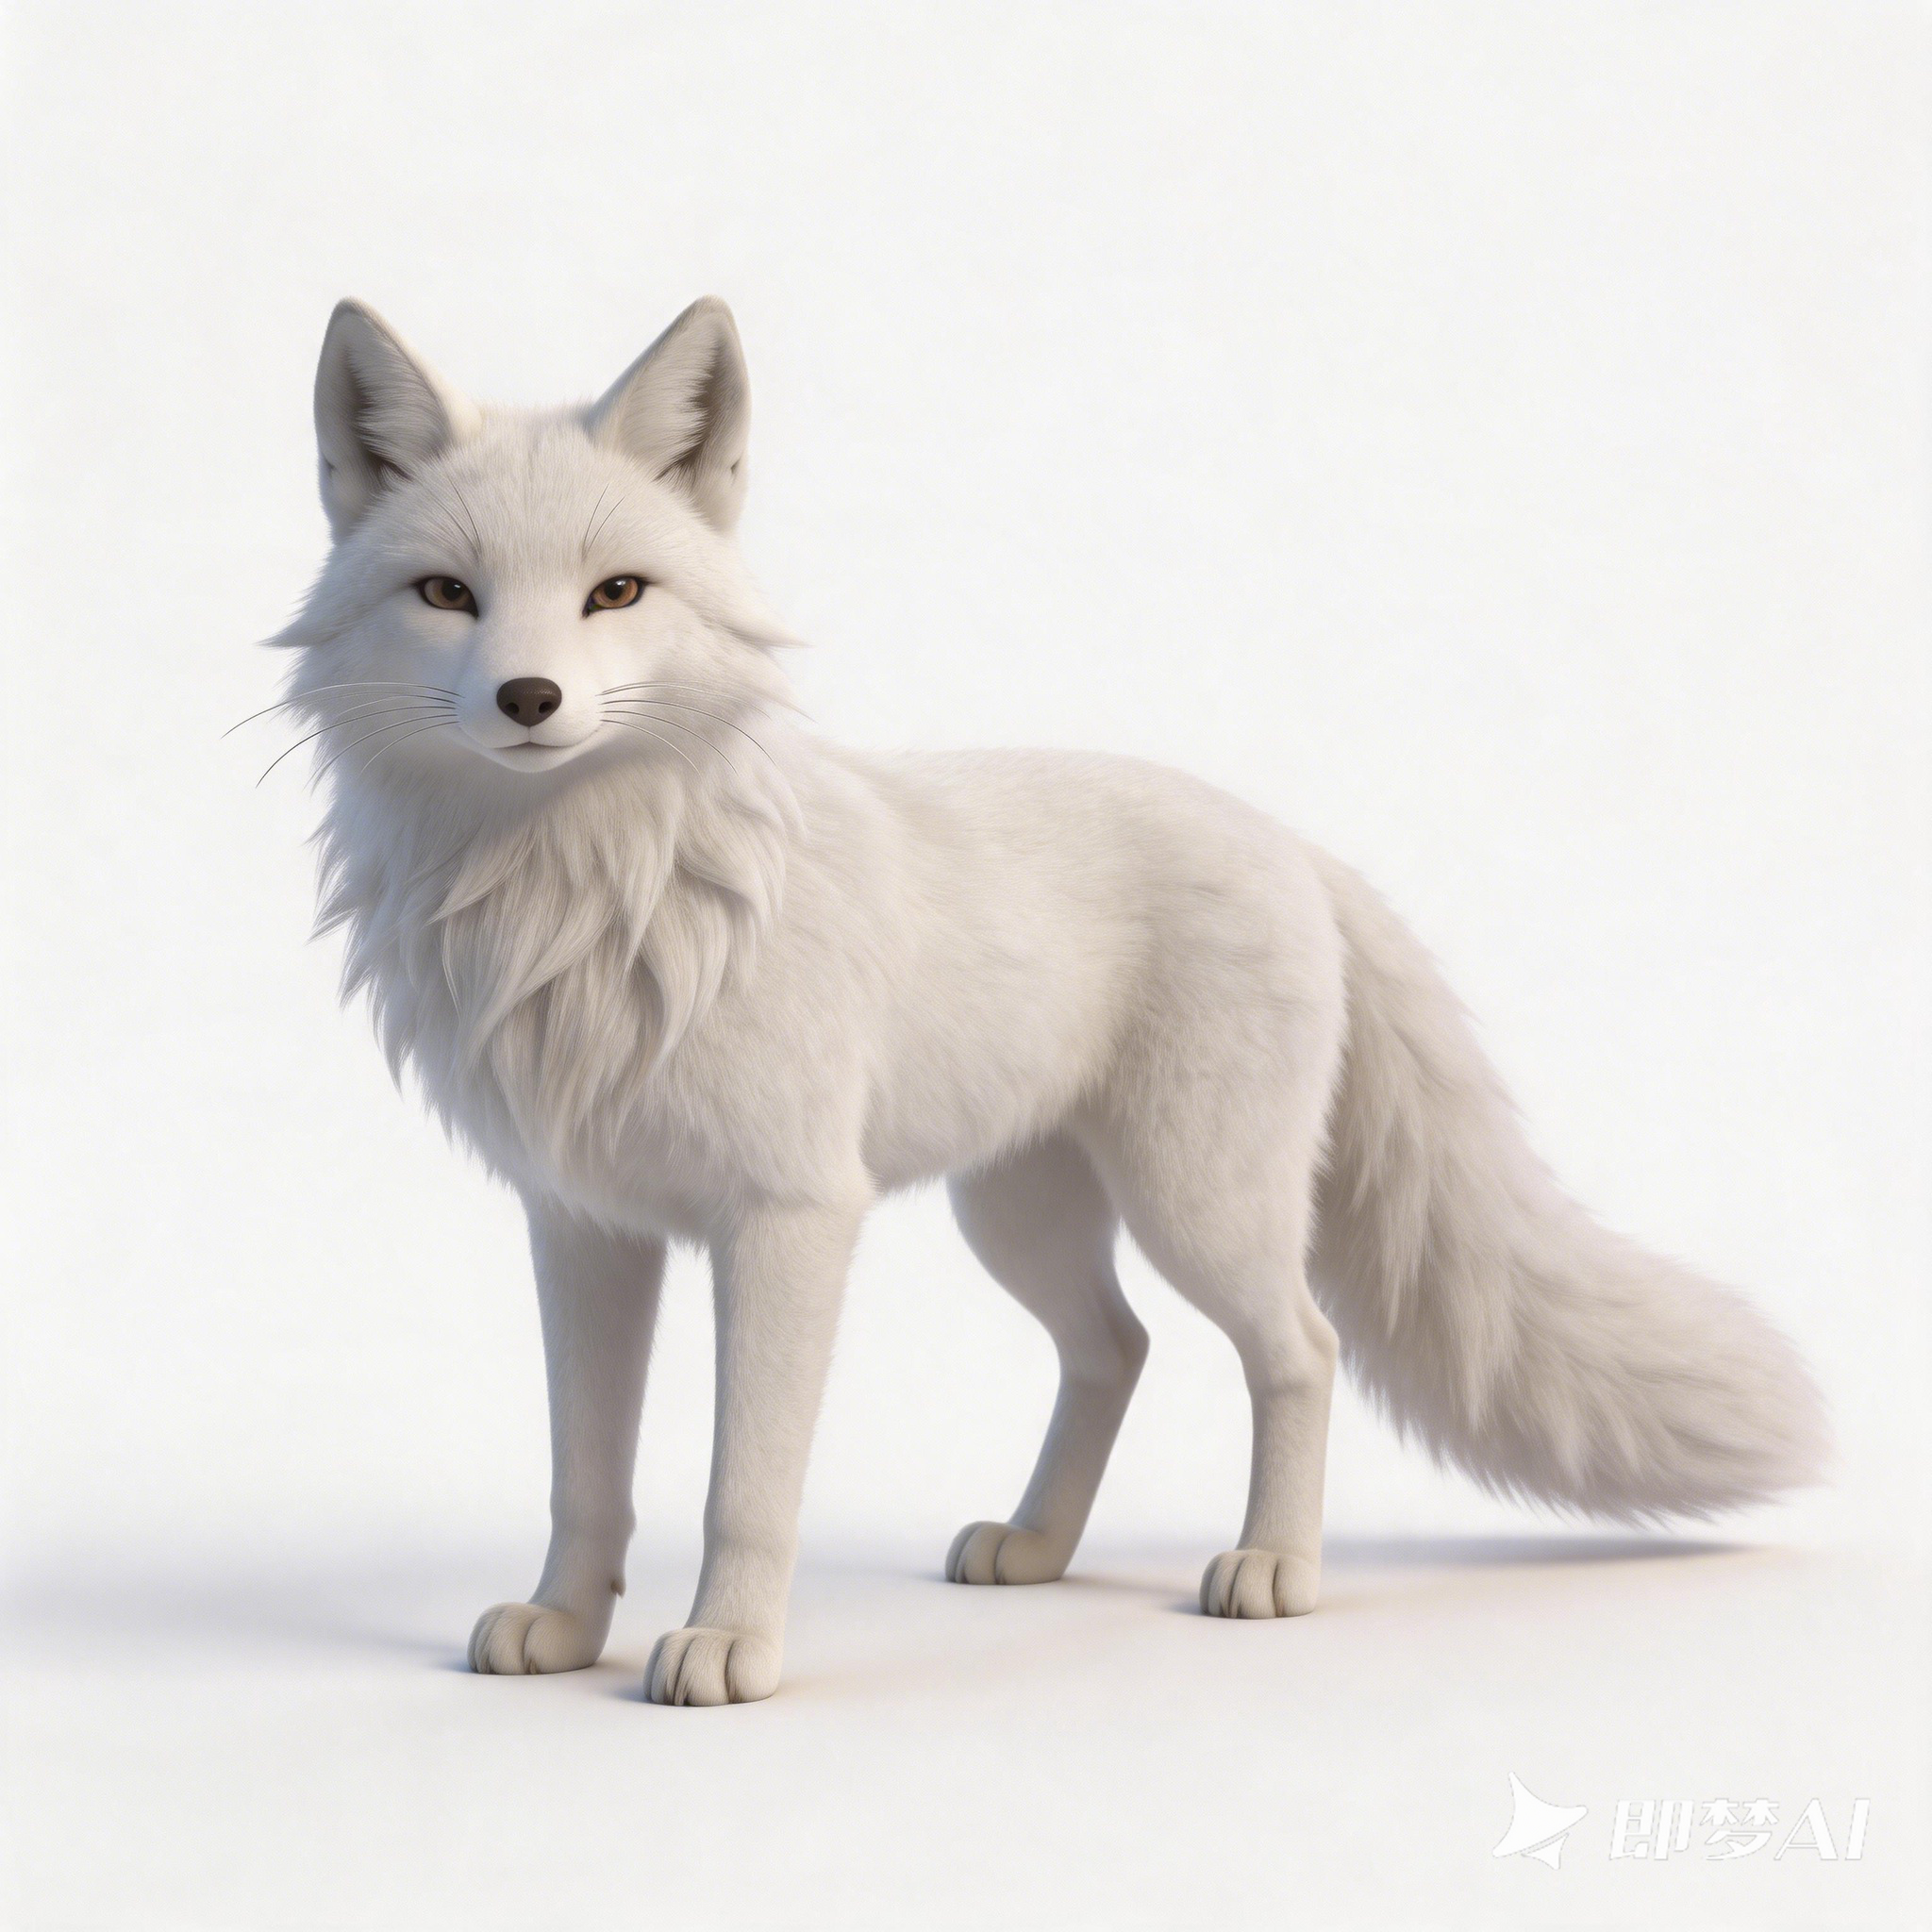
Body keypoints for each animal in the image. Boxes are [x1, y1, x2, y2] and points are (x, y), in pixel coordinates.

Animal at [266, 295, 1827, 1705]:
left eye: (617, 594)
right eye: (448, 596)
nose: (529, 698)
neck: (588, 901)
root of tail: (1291, 843)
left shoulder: (787, 1220)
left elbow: (742, 1486)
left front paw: (726, 1650)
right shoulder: (586, 1228)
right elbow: (585, 1474)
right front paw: (565, 1629)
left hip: (1199, 1206)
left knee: (1299, 1350)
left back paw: (1273, 1570)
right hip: (1014, 1215)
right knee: (1115, 1347)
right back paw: (1036, 1546)